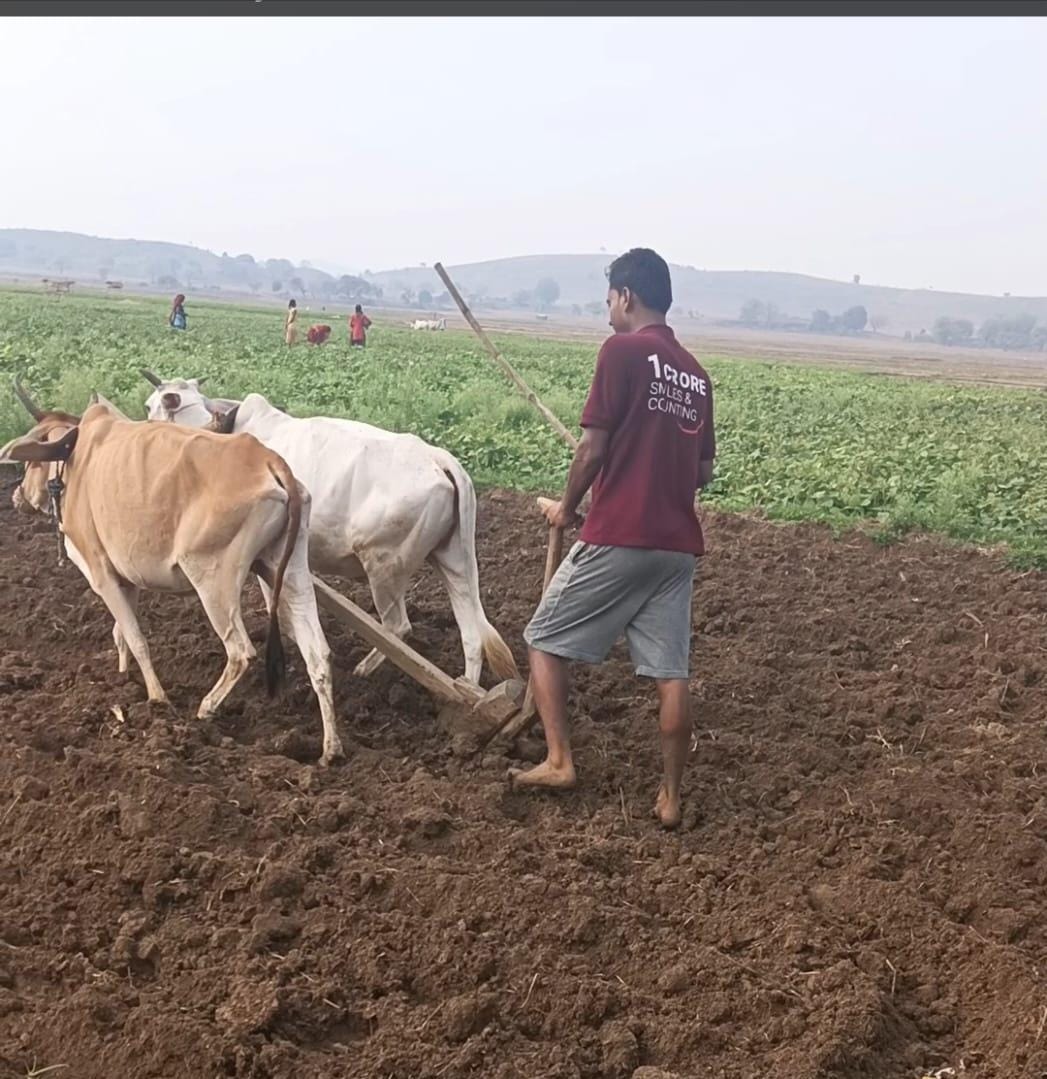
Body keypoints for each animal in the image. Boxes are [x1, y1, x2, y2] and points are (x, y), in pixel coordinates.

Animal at [1, 384, 343, 763]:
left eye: (31, 461)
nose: (16, 496)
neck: (76, 459)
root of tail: (269, 460)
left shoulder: (100, 571)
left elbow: (136, 638)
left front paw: (156, 699)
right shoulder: (125, 576)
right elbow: (121, 633)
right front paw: (122, 678)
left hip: (213, 579)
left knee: (240, 651)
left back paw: (206, 708)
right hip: (291, 570)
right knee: (318, 654)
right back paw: (330, 749)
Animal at [144, 375, 520, 686]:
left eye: (156, 405)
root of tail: (440, 459)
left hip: (384, 566)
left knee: (398, 626)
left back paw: (365, 669)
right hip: (452, 559)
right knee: (471, 635)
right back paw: (469, 690)